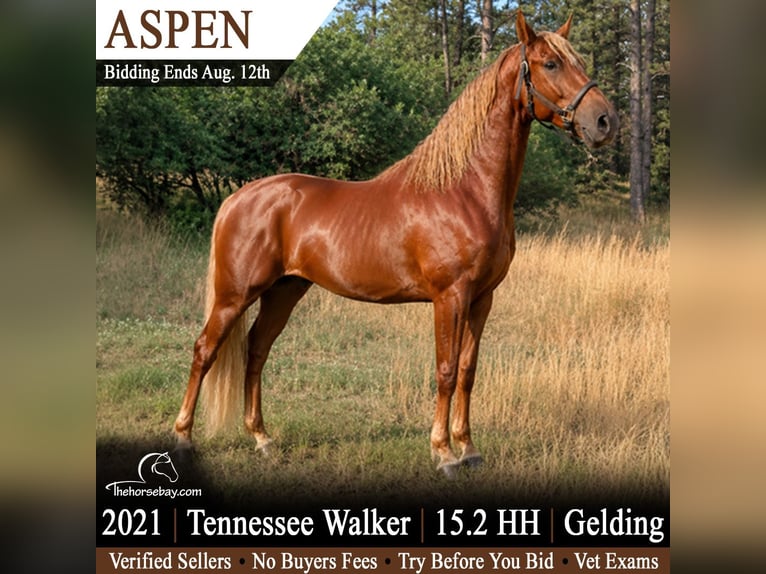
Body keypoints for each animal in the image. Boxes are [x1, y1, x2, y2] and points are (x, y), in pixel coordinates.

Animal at [173, 12, 618, 476]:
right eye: (551, 63)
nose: (605, 121)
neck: (465, 191)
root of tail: (238, 198)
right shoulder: (450, 297)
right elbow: (445, 370)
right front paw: (443, 453)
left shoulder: (482, 299)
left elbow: (467, 371)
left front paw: (469, 448)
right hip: (234, 295)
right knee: (205, 350)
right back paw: (184, 439)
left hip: (284, 291)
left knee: (257, 350)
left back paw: (261, 438)